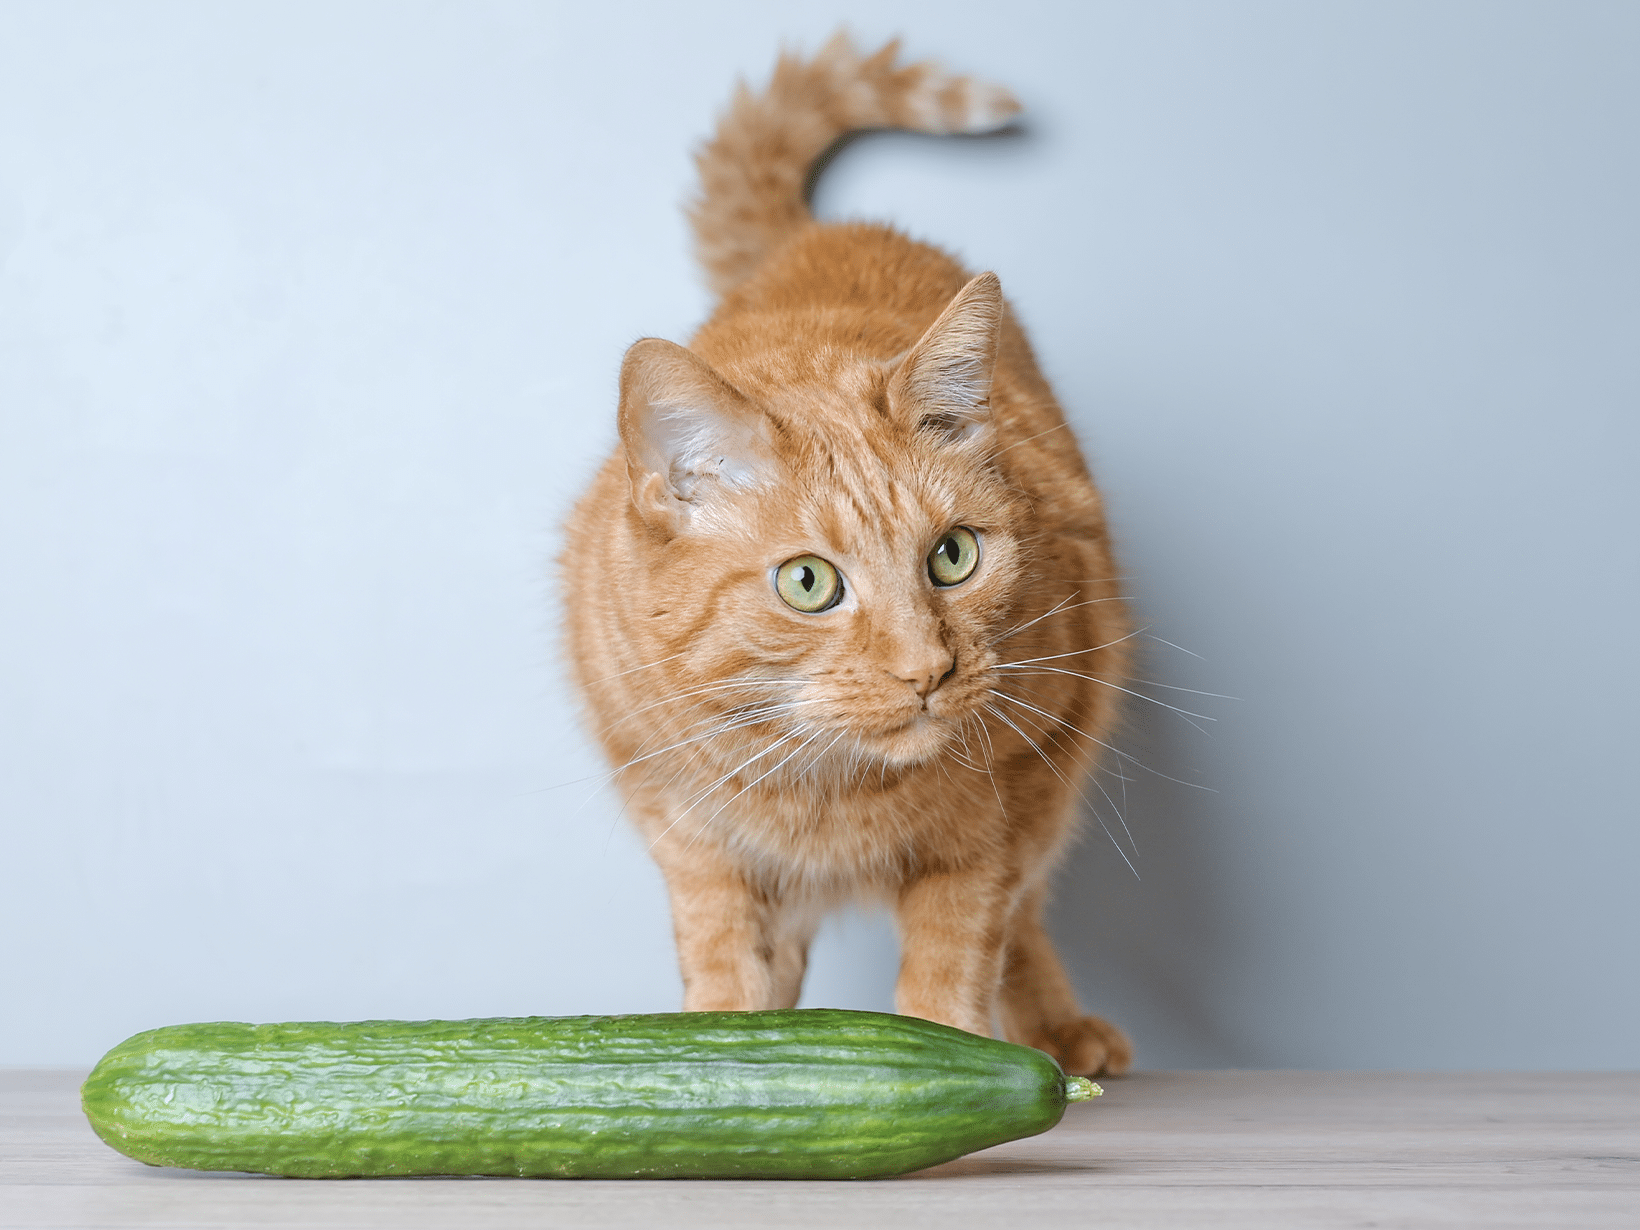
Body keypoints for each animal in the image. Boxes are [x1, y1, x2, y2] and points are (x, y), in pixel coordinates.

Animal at [564, 33, 1128, 1075]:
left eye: (954, 557)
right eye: (808, 583)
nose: (928, 670)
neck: (828, 784)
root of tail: (822, 233)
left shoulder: (1004, 812)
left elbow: (958, 959)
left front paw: (959, 1060)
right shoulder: (686, 828)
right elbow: (725, 956)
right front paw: (722, 1051)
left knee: (1028, 915)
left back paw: (1060, 1033)